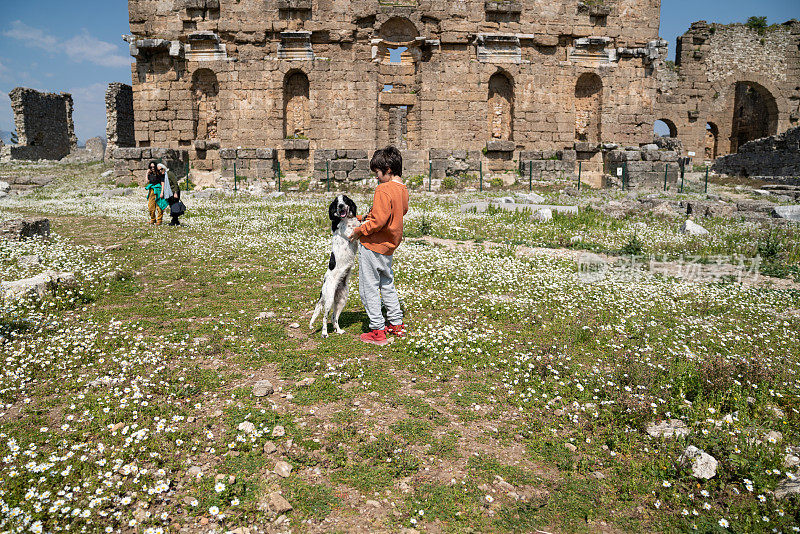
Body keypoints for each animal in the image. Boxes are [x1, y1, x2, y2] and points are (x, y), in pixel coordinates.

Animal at [310, 196, 360, 340]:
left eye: (345, 200)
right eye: (336, 203)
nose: (341, 206)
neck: (346, 219)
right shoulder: (350, 233)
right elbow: (359, 225)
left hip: (341, 299)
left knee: (334, 317)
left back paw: (338, 330)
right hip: (329, 299)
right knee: (325, 317)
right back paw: (324, 333)